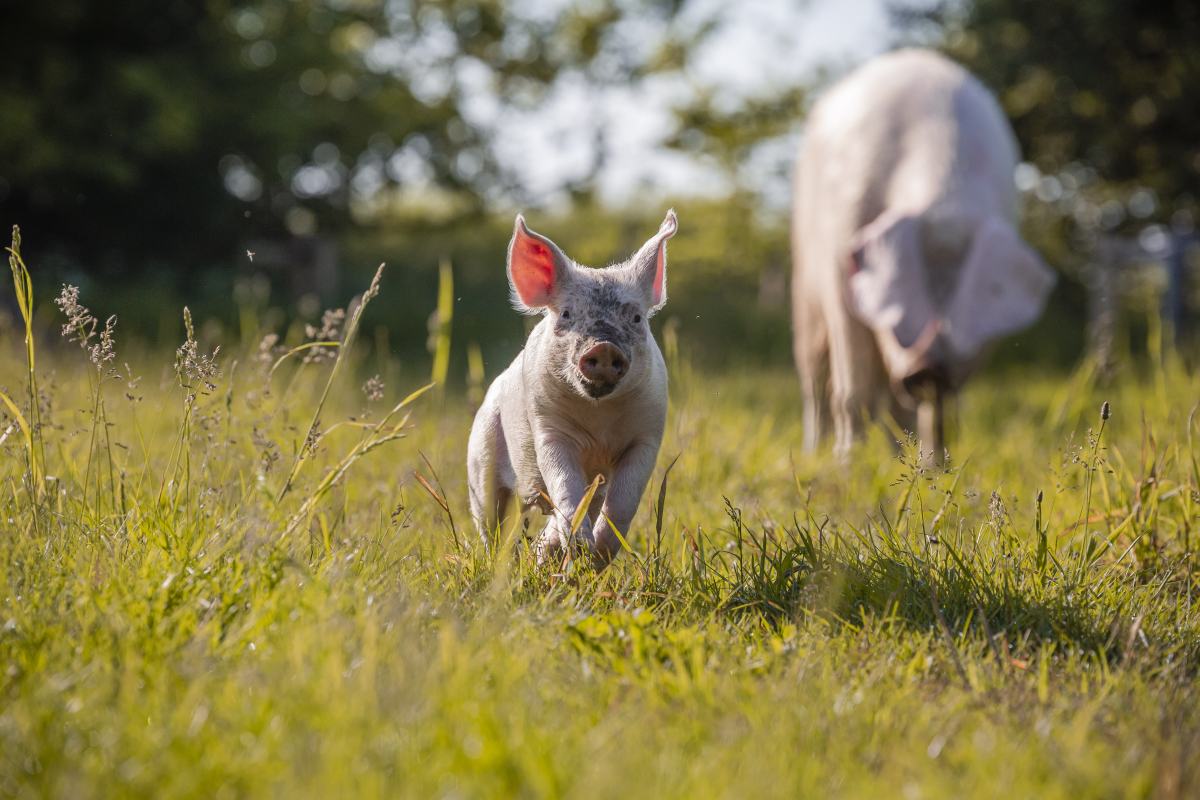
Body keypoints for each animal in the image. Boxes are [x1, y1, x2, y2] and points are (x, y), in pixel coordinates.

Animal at [465, 209, 681, 566]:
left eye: (636, 318)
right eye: (567, 314)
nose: (603, 347)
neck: (599, 419)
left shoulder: (647, 434)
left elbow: (623, 501)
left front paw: (596, 556)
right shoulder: (548, 428)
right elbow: (565, 484)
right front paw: (582, 548)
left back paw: (548, 556)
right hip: (480, 458)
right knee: (491, 522)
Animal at [792, 50, 1056, 460]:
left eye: (965, 301)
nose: (928, 366)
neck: (944, 212)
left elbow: (940, 410)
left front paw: (935, 467)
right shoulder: (840, 269)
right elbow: (852, 389)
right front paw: (849, 466)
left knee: (894, 404)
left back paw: (896, 458)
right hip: (804, 283)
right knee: (817, 381)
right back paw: (814, 454)